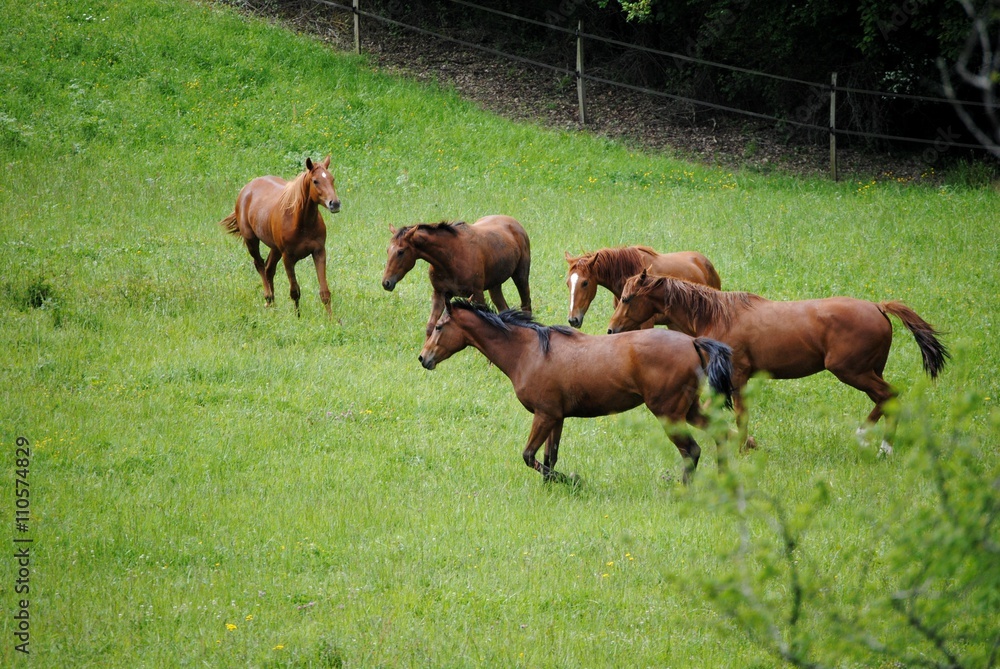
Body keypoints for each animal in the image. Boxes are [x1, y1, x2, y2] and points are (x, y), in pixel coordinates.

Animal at [219, 156, 341, 317]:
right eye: (315, 181)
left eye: (332, 179)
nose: (335, 203)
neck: (301, 221)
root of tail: (247, 188)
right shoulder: (287, 258)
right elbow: (295, 292)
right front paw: (297, 317)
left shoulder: (319, 252)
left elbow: (325, 292)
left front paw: (331, 319)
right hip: (252, 241)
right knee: (260, 265)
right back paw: (268, 298)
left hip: (275, 248)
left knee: (269, 269)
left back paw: (273, 306)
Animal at [382, 216, 532, 337]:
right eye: (388, 250)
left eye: (401, 252)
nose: (386, 282)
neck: (450, 257)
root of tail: (515, 223)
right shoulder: (439, 294)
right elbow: (431, 326)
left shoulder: (477, 294)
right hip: (494, 286)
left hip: (521, 276)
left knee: (526, 305)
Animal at [418, 300, 735, 484]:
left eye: (440, 327)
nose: (423, 358)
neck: (529, 352)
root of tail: (693, 342)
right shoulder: (556, 418)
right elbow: (549, 457)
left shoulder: (544, 416)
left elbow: (529, 456)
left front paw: (571, 479)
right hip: (689, 409)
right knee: (719, 434)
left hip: (669, 414)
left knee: (692, 451)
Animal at [607, 270, 949, 452]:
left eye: (626, 298)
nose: (611, 330)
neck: (716, 315)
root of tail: (878, 307)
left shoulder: (737, 378)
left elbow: (739, 416)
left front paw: (743, 446)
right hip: (867, 372)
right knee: (885, 399)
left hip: (852, 371)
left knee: (890, 396)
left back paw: (877, 444)